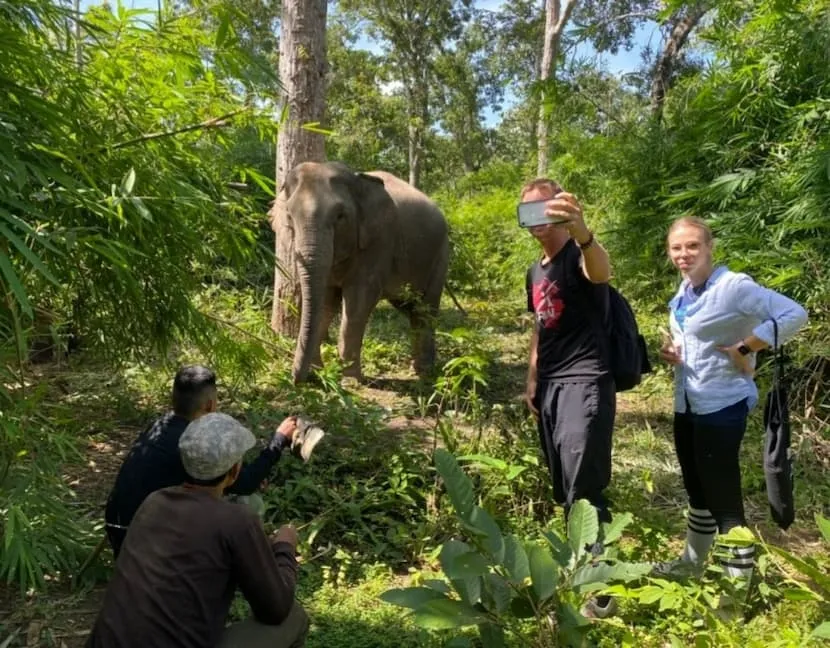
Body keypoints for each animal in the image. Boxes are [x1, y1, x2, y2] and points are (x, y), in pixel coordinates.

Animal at [278, 162, 448, 384]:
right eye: (289, 215)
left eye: (340, 216)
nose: (295, 380)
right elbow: (326, 300)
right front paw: (318, 373)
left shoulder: (379, 241)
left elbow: (358, 301)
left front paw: (350, 381)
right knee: (411, 309)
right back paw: (416, 369)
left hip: (441, 255)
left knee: (426, 308)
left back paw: (426, 373)